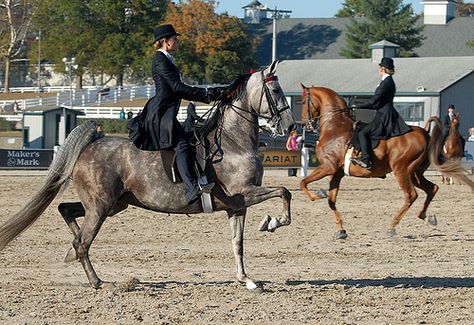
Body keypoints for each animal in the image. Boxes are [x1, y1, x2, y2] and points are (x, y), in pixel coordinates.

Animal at [0, 60, 296, 288]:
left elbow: (238, 243)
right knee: (82, 241)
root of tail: (92, 142)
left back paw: (69, 256)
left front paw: (246, 280)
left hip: (112, 204)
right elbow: (285, 192)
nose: (291, 126)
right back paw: (98, 282)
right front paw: (272, 222)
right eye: (275, 90)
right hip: (101, 205)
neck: (234, 143)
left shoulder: (237, 205)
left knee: (66, 212)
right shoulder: (244, 194)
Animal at [300, 85, 474, 238]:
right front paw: (341, 231)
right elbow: (331, 201)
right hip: (415, 173)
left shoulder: (327, 167)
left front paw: (317, 195)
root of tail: (424, 132)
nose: (303, 123)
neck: (334, 127)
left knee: (411, 195)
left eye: (302, 102)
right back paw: (426, 217)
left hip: (401, 170)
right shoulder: (336, 173)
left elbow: (303, 183)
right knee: (432, 188)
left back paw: (392, 227)